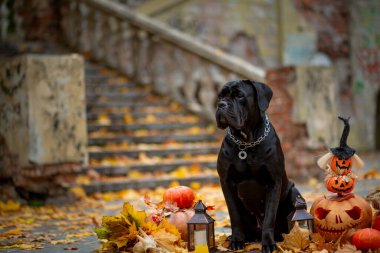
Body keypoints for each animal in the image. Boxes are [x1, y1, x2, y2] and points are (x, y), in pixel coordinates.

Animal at [217, 80, 302, 252]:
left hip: (294, 193)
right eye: (220, 96)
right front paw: (237, 240)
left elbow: (269, 217)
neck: (246, 142)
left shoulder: (274, 182)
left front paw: (268, 244)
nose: (221, 104)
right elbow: (234, 215)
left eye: (239, 95)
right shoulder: (226, 182)